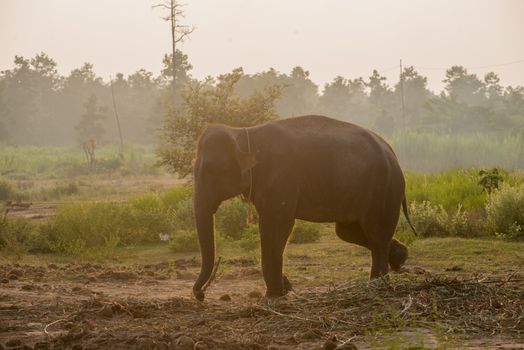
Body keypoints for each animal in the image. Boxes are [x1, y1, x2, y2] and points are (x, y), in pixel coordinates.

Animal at [190, 115, 416, 300]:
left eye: (209, 169)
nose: (200, 294)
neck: (243, 132)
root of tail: (392, 153)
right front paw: (285, 288)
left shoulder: (281, 177)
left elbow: (275, 226)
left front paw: (273, 296)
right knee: (349, 231)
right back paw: (400, 257)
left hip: (384, 189)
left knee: (375, 233)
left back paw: (377, 286)